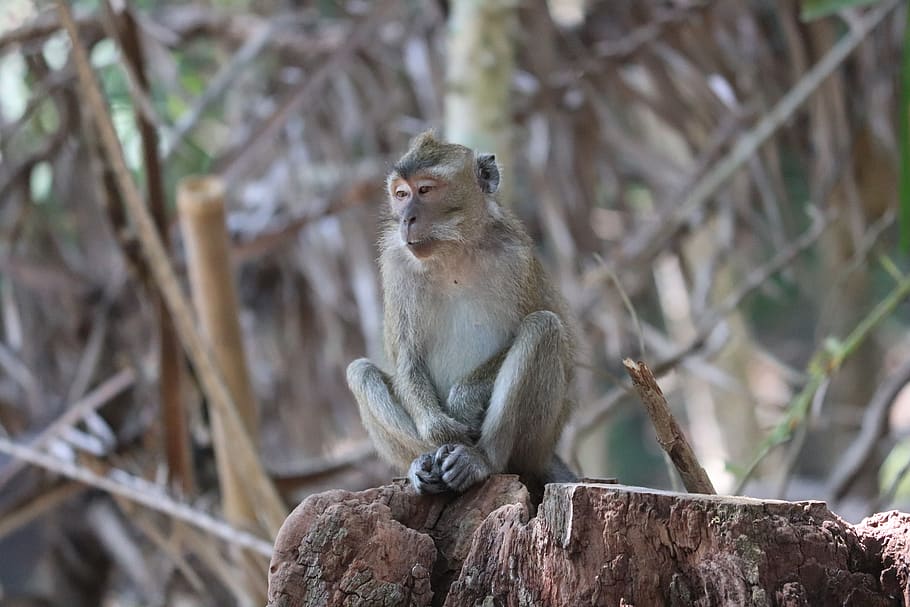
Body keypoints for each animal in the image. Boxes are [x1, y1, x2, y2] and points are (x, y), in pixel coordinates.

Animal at [346, 131, 578, 497]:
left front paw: (463, 403)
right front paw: (440, 428)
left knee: (544, 328)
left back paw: (479, 460)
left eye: (425, 190)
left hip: (539, 441)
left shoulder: (518, 258)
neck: (453, 251)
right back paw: (424, 461)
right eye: (401, 194)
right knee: (360, 372)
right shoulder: (396, 265)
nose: (407, 219)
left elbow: (551, 333)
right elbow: (407, 357)